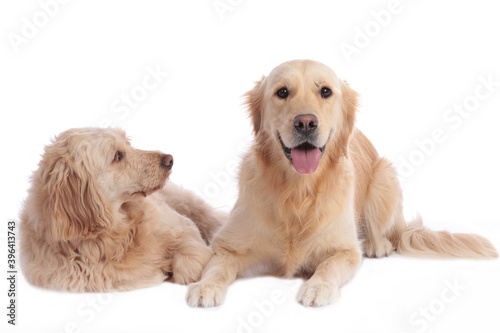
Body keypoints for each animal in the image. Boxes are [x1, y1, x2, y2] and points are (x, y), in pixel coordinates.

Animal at [187, 59, 496, 306]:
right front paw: (205, 286)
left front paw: (318, 287)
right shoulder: (228, 244)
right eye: (282, 92)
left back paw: (376, 244)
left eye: (325, 91)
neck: (298, 192)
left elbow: (330, 265)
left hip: (384, 176)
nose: (306, 123)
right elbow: (217, 266)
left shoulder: (345, 249)